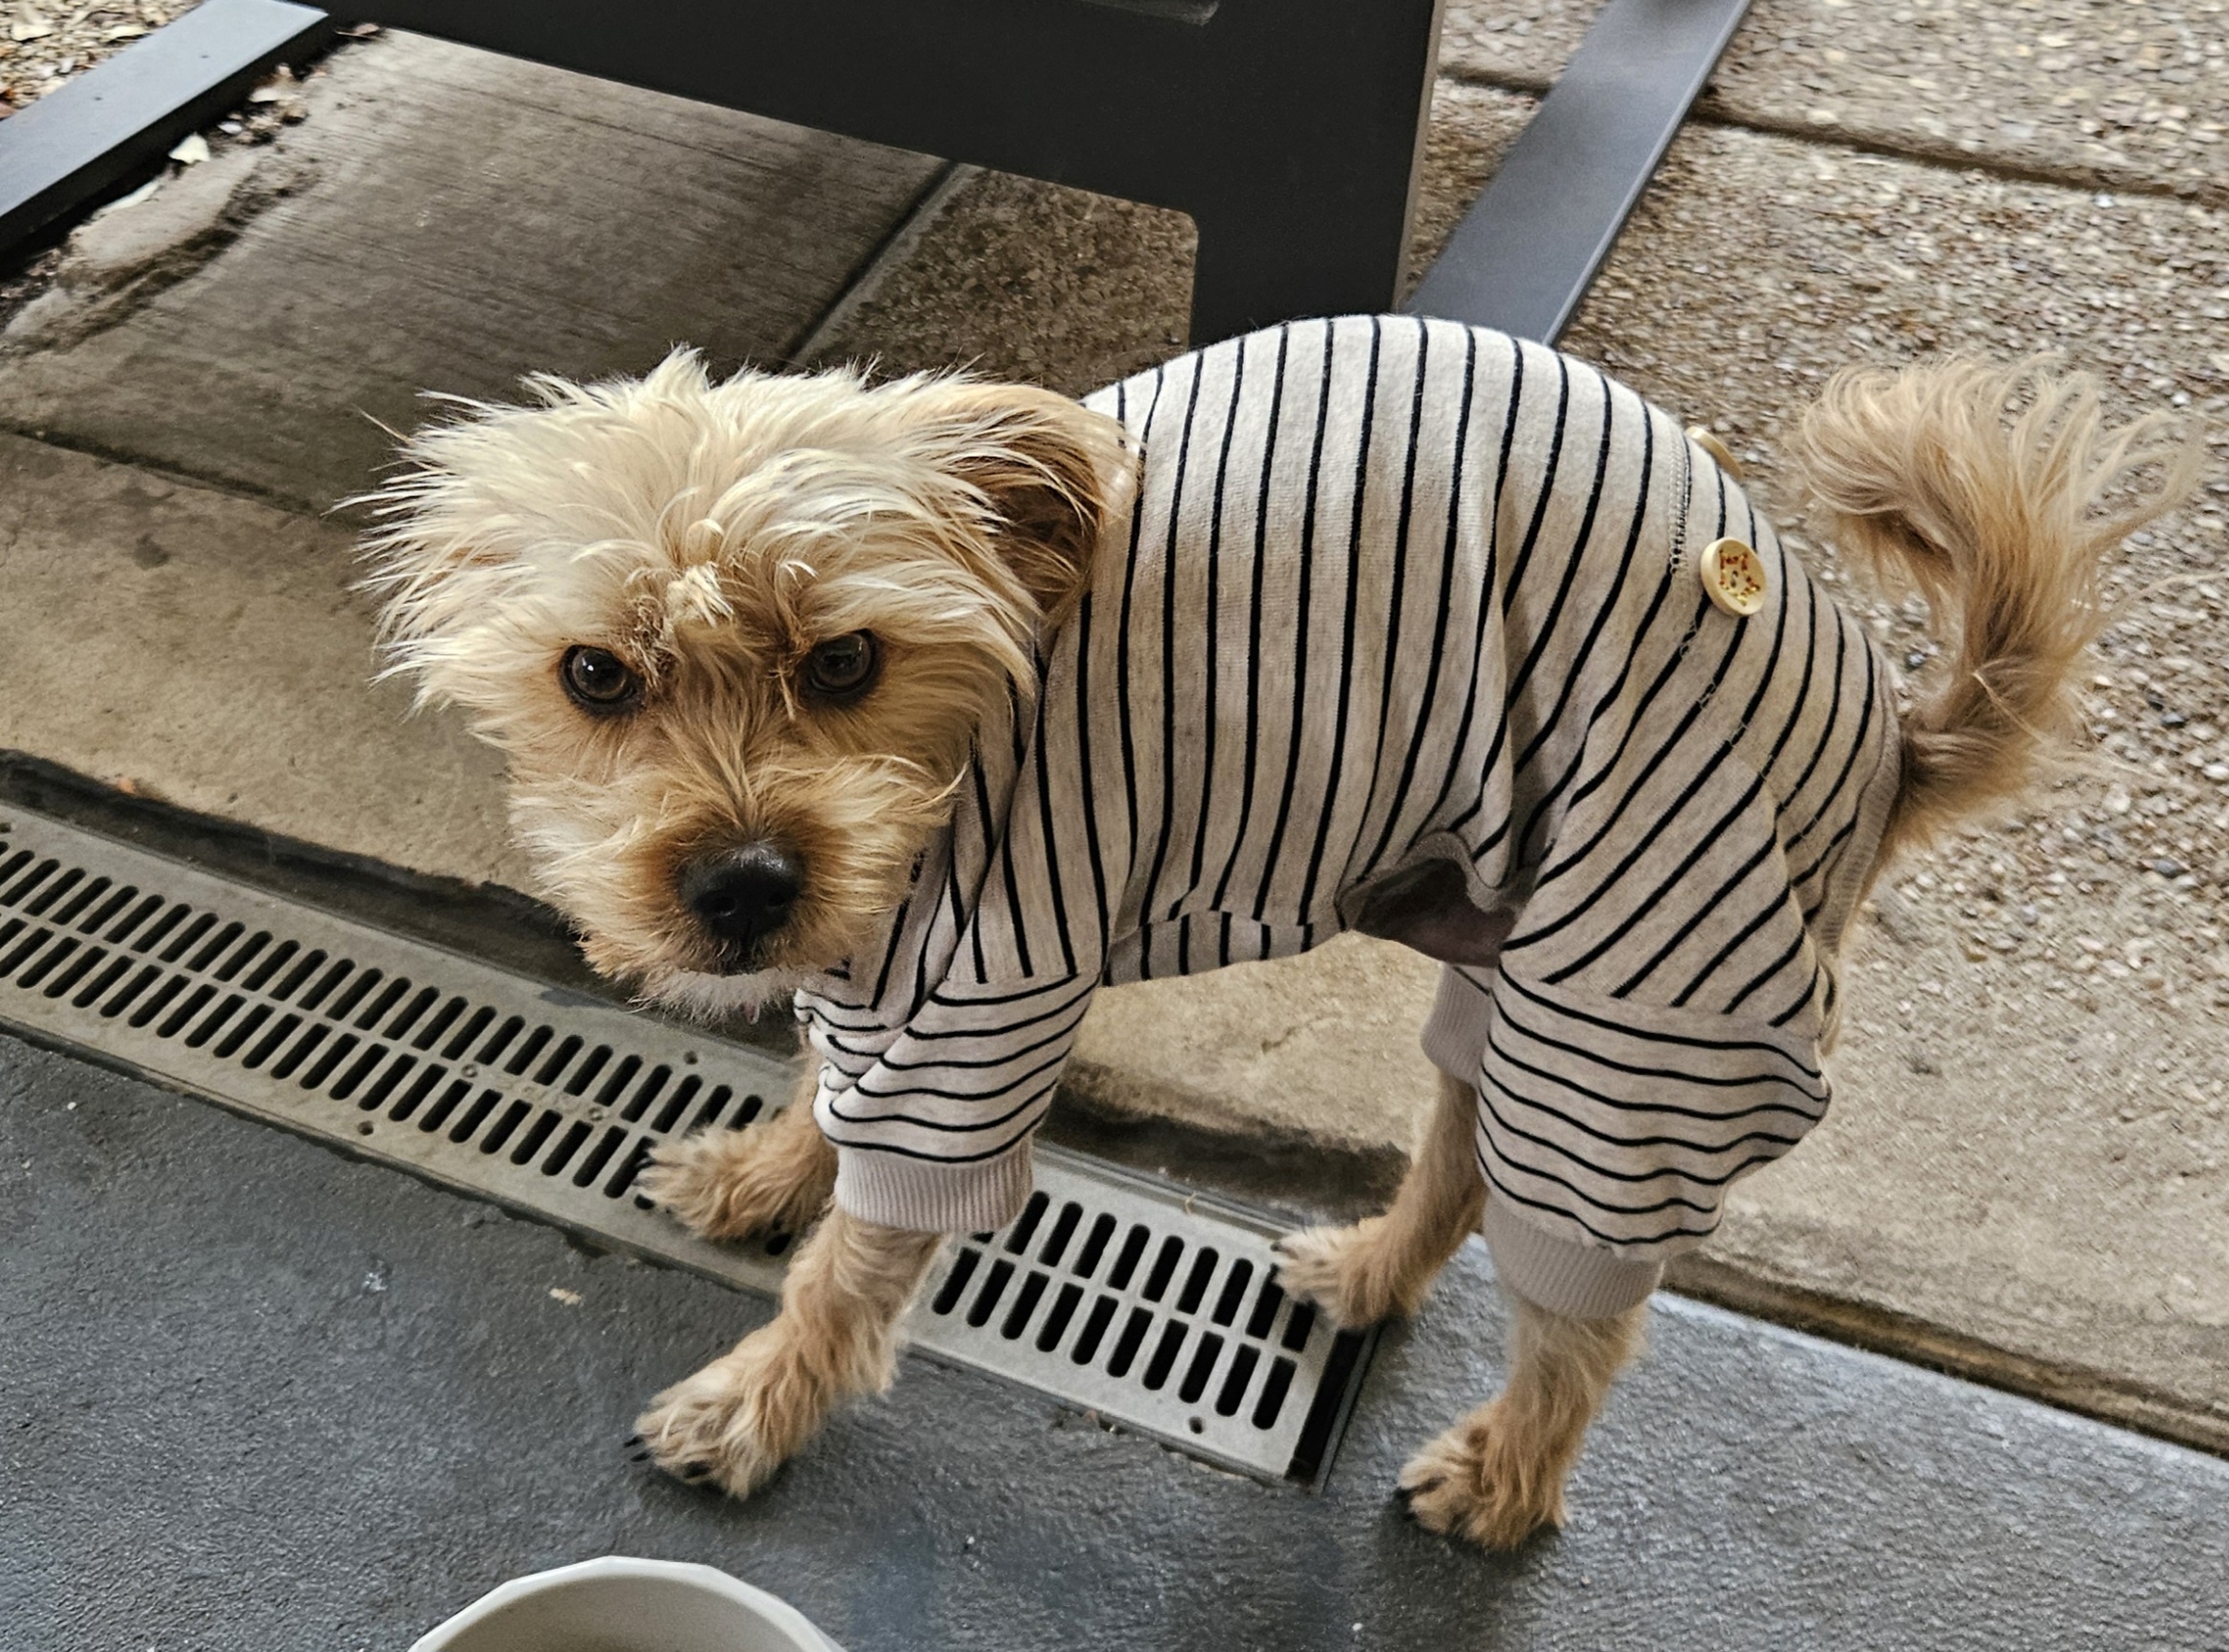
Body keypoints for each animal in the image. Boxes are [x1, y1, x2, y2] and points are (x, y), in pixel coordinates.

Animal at [365, 311, 2193, 1542]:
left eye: (846, 661)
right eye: (596, 675)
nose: (743, 886)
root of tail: (1884, 736)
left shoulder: (978, 998)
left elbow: (860, 1256)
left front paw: (759, 1397)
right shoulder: (876, 972)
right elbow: (823, 1103)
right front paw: (760, 1171)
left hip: (1642, 998)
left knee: (1590, 1305)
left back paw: (1506, 1476)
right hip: (1508, 948)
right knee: (1459, 1159)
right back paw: (1371, 1271)